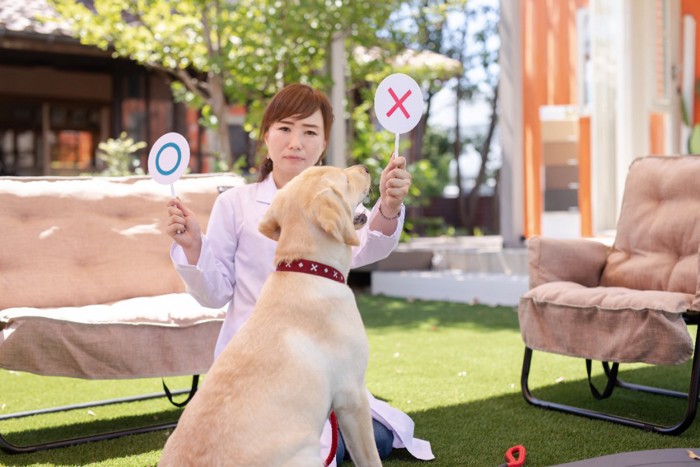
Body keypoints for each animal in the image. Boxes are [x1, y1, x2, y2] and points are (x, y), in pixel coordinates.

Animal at [159, 166, 382, 467]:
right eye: (345, 179)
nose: (365, 168)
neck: (307, 268)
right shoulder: (352, 395)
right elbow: (370, 458)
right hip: (309, 453)